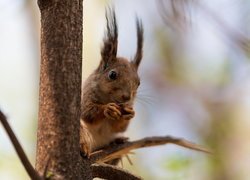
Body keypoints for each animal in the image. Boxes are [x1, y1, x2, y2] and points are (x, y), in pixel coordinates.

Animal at [79, 8, 143, 156]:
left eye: (139, 82)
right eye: (112, 74)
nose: (127, 97)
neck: (108, 98)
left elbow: (118, 128)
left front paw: (130, 113)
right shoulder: (86, 94)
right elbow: (87, 112)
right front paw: (107, 109)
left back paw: (118, 141)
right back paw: (83, 147)